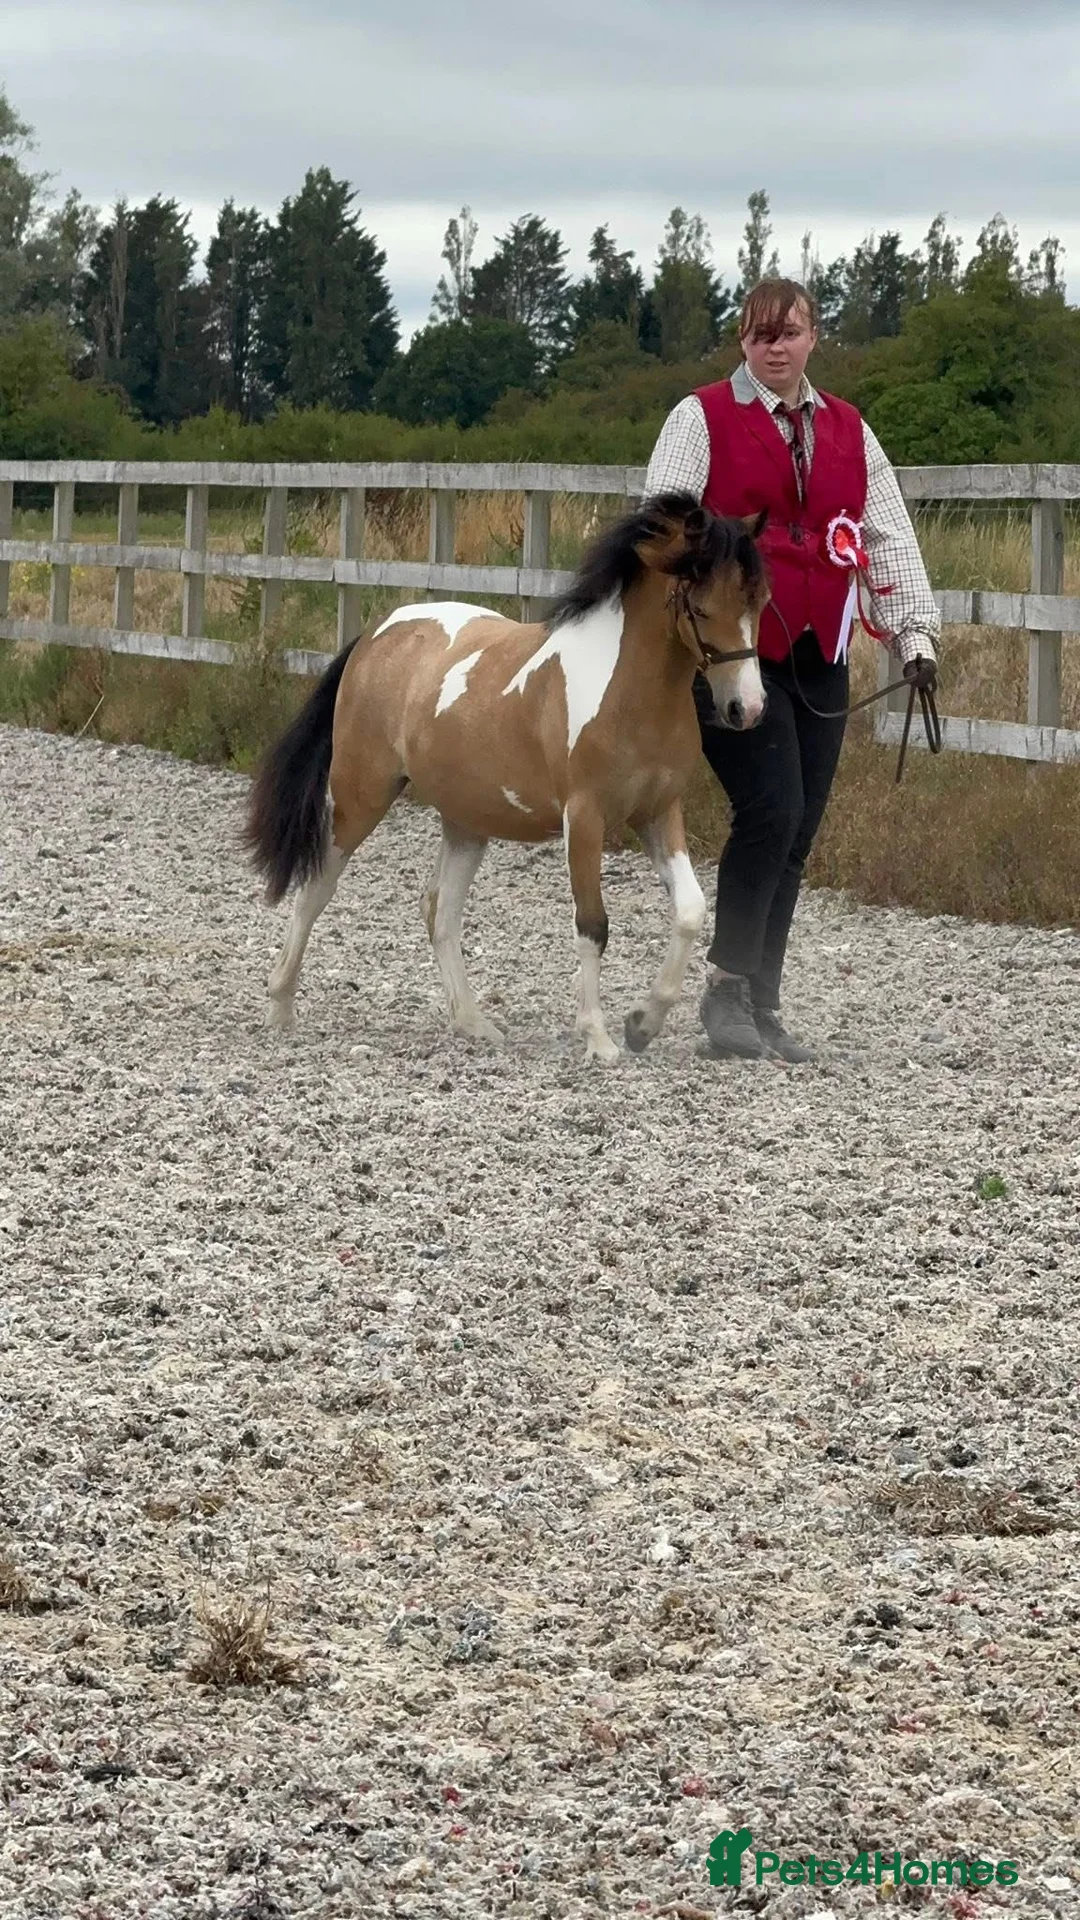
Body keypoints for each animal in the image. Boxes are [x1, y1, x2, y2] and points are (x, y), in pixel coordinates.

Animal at [244, 491, 770, 1064]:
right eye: (701, 607)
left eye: (760, 602)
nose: (746, 708)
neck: (627, 692)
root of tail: (379, 634)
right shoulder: (584, 819)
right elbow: (593, 926)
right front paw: (600, 1038)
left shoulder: (658, 813)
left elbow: (691, 911)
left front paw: (642, 1024)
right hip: (360, 795)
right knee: (318, 887)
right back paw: (280, 1007)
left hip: (467, 819)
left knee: (440, 910)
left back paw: (474, 1023)